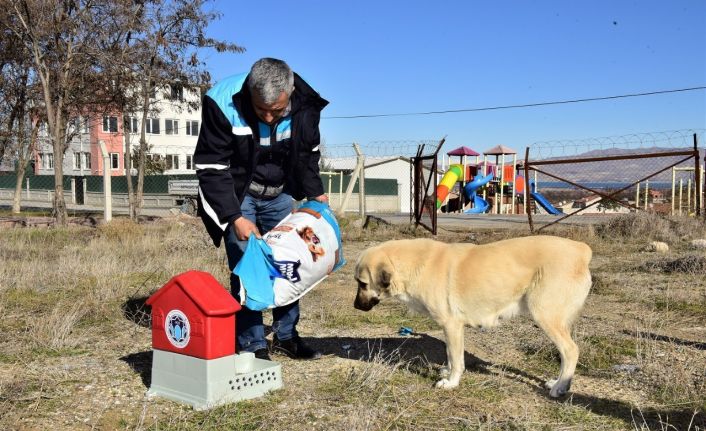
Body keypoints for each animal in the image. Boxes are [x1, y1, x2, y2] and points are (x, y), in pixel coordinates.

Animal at [352, 236, 588, 398]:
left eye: (362, 283)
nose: (355, 306)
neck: (416, 264)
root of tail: (582, 249)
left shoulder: (451, 325)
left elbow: (456, 359)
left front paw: (451, 382)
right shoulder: (451, 329)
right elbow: (450, 354)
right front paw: (447, 371)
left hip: (545, 316)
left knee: (571, 351)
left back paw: (560, 387)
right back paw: (557, 382)